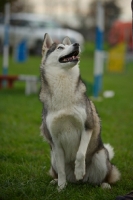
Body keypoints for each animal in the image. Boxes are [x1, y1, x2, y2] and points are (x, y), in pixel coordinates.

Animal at [39, 32, 120, 191]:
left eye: (69, 45)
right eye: (60, 47)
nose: (76, 44)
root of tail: (80, 183)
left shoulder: (87, 126)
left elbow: (80, 153)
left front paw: (79, 170)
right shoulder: (54, 139)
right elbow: (61, 170)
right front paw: (61, 188)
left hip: (101, 156)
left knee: (103, 177)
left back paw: (103, 184)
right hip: (52, 157)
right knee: (59, 171)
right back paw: (57, 181)